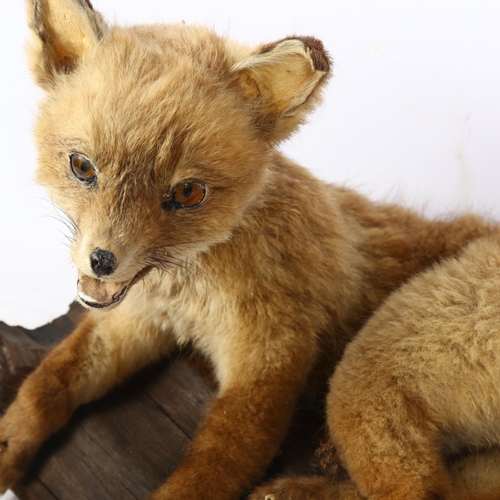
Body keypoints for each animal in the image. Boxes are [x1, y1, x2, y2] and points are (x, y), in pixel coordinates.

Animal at [0, 0, 498, 498]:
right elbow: (49, 381)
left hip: (363, 374)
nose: (102, 261)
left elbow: (205, 473)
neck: (190, 295)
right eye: (82, 167)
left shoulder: (269, 361)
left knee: (424, 490)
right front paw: (9, 443)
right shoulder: (138, 318)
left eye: (187, 193)